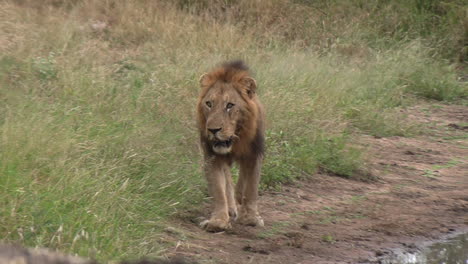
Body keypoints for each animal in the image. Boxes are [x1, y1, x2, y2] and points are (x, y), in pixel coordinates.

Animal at [196, 59, 266, 231]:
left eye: (230, 105)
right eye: (209, 103)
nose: (213, 130)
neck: (235, 139)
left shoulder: (254, 154)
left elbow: (251, 186)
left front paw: (251, 218)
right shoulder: (213, 157)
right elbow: (219, 189)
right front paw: (218, 221)